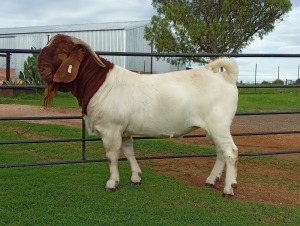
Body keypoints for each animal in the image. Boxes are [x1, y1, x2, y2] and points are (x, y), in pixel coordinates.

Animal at [37, 33, 239, 196]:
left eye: (63, 50)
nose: (40, 69)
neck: (99, 83)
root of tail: (224, 77)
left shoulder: (111, 129)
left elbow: (112, 156)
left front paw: (112, 183)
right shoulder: (125, 130)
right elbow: (129, 152)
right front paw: (136, 177)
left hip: (218, 125)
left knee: (230, 152)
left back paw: (229, 188)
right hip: (212, 129)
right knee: (220, 152)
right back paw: (211, 180)